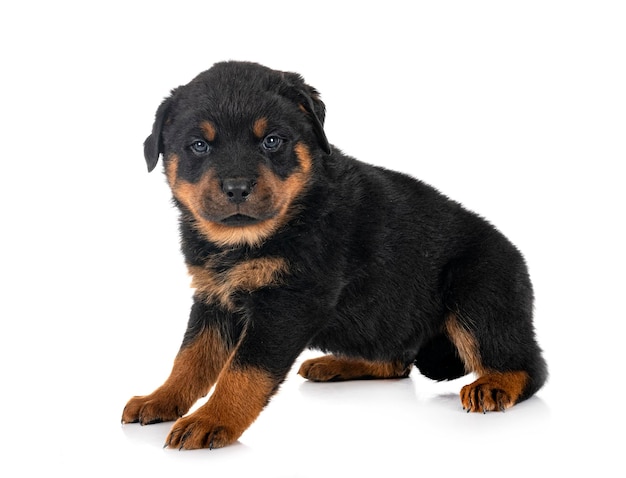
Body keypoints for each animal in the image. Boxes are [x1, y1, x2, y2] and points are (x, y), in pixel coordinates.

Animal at [122, 61, 544, 450]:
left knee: (529, 366)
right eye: (199, 145)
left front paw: (211, 420)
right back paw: (335, 363)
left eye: (272, 141)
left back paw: (493, 386)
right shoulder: (213, 297)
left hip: (478, 295)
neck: (252, 238)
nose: (237, 187)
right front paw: (161, 398)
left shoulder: (287, 305)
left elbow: (244, 370)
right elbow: (191, 357)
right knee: (396, 361)